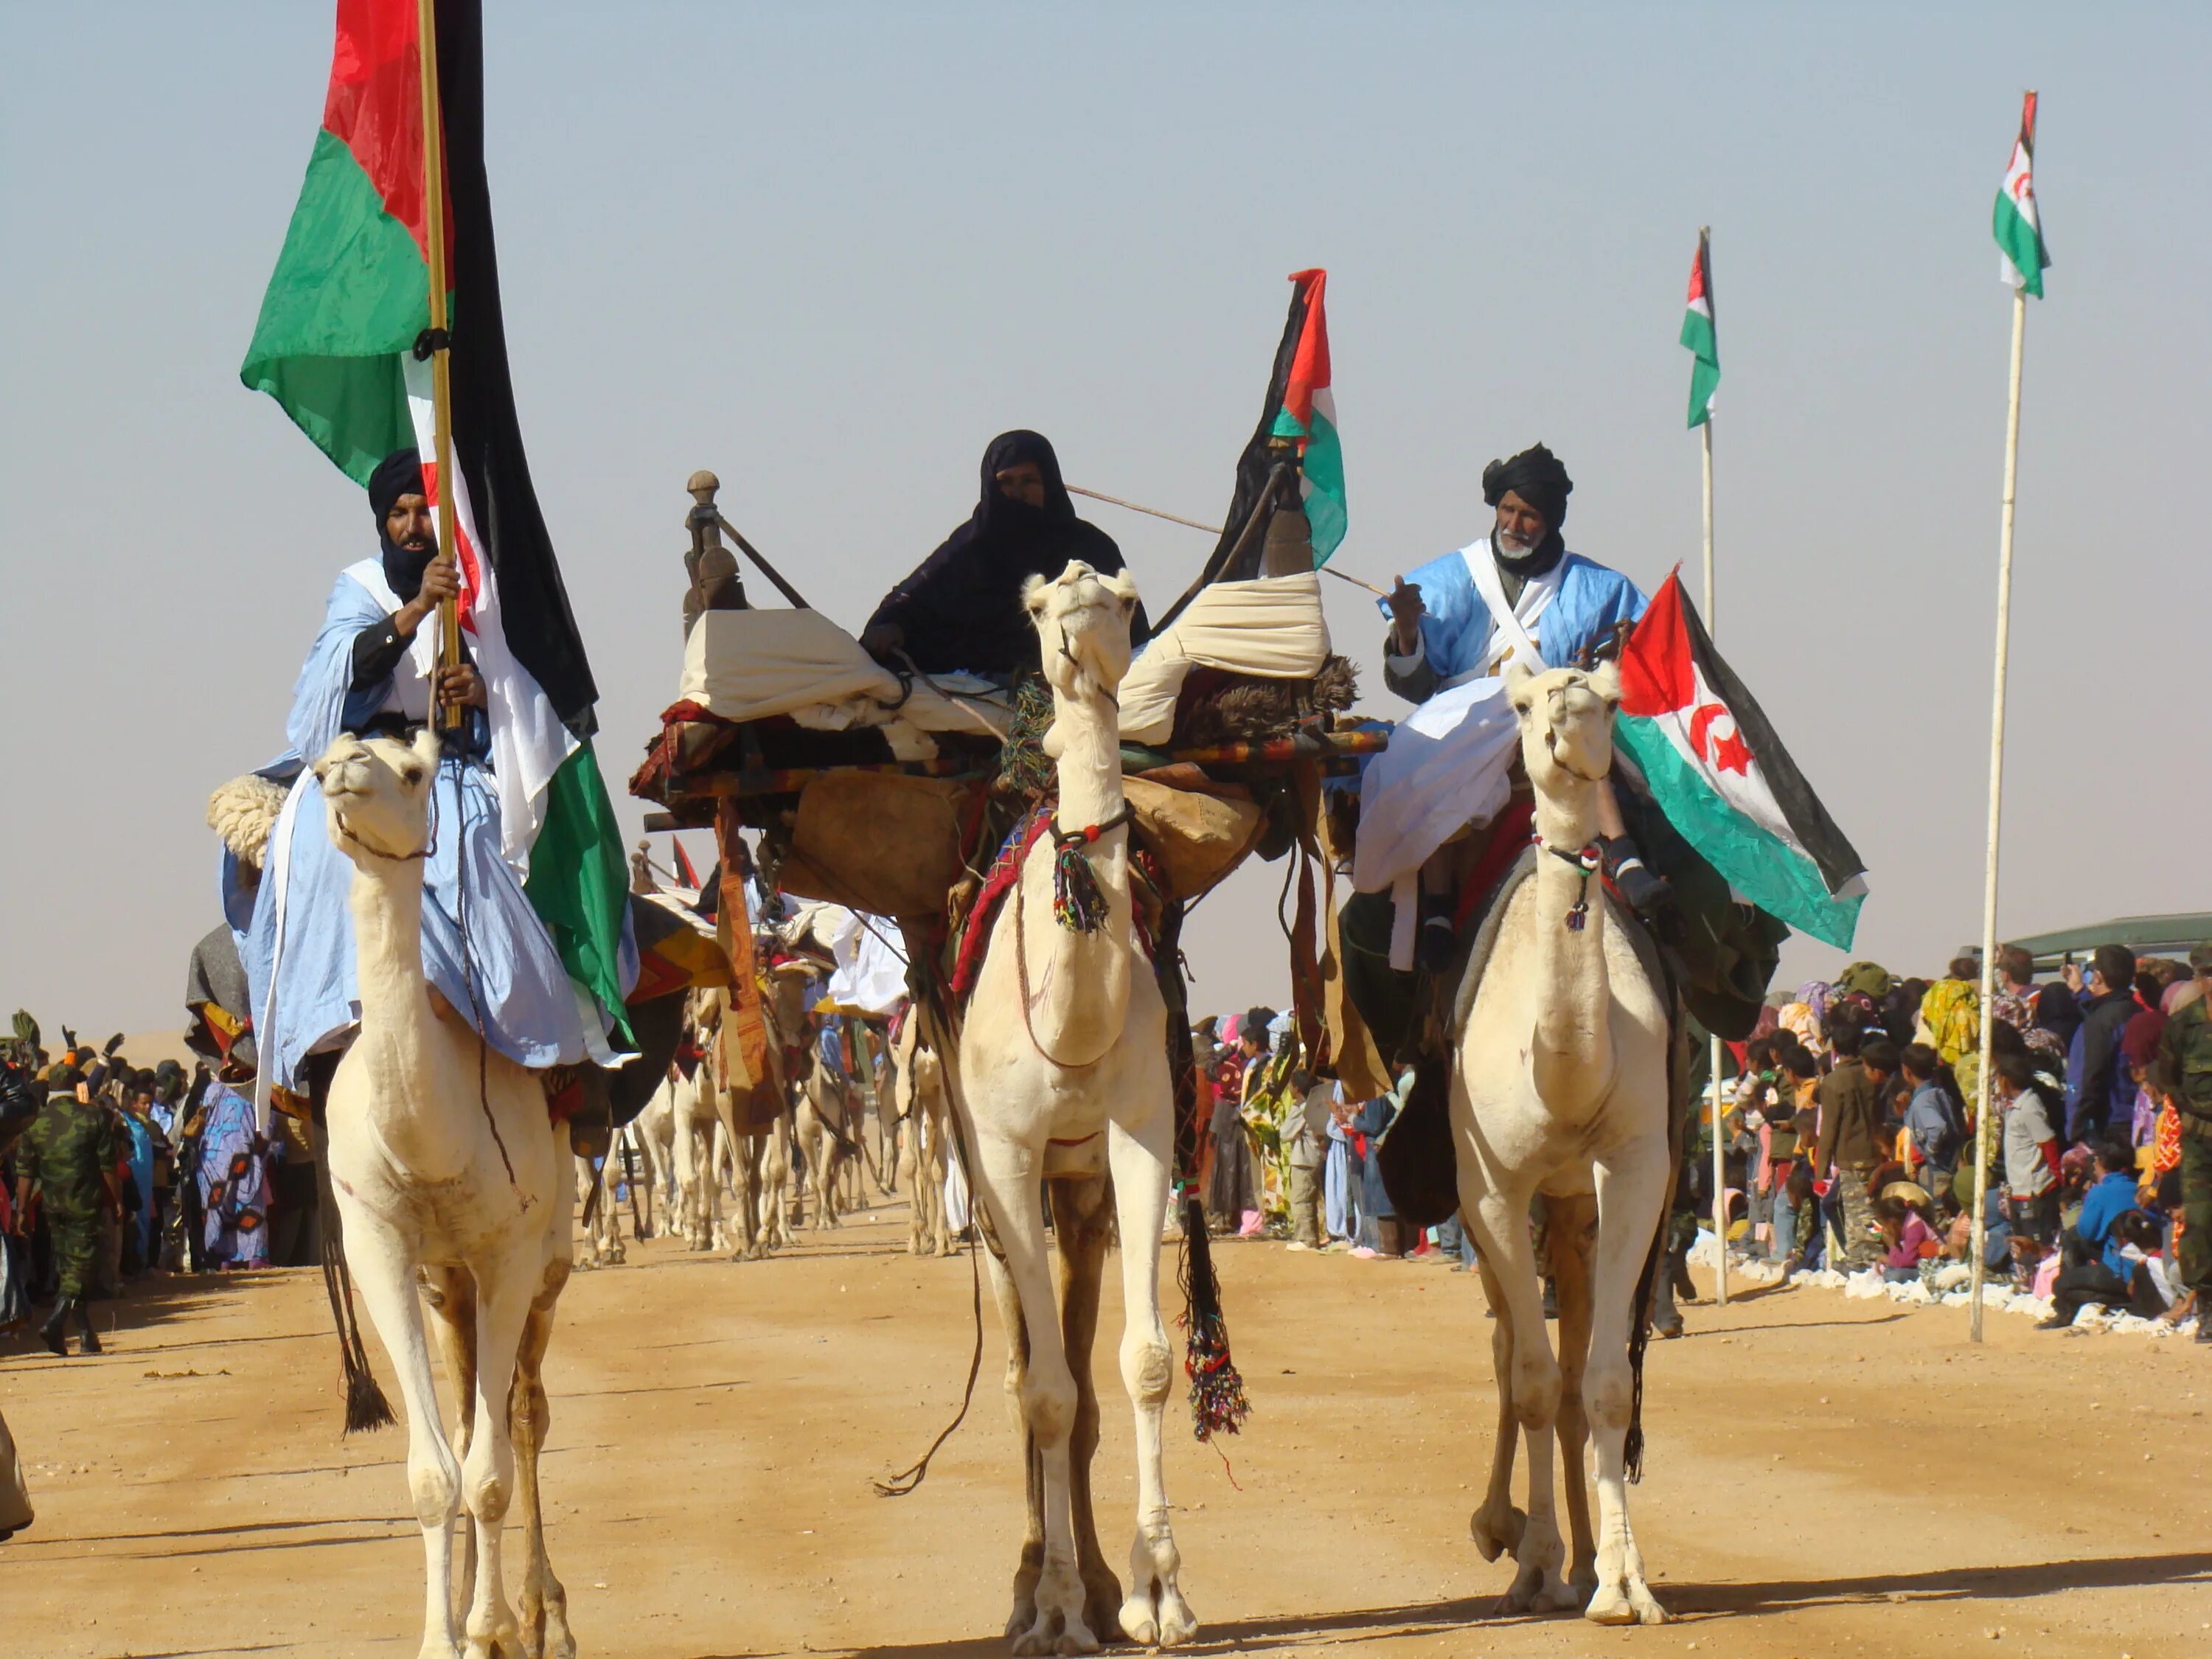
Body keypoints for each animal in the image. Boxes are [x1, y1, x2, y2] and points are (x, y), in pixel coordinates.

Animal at [319, 739, 588, 1659]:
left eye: (411, 772)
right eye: (329, 756)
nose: (341, 769)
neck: (429, 1141)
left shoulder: (508, 1250)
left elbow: (493, 1474)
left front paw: (495, 1626)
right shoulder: (381, 1244)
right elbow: (437, 1473)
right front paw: (450, 1638)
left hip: (547, 1264)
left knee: (525, 1414)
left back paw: (542, 1618)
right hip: (448, 1285)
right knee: (476, 1418)